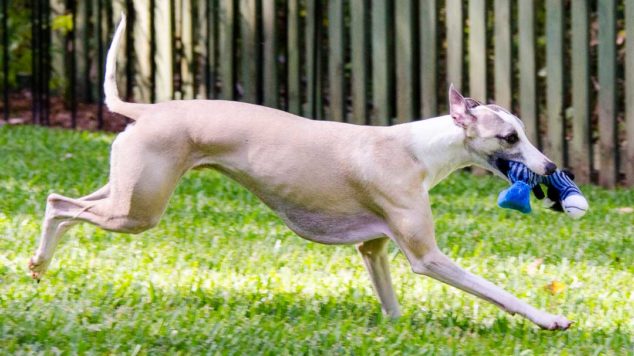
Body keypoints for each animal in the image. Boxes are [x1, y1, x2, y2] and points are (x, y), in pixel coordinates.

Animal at [28, 15, 568, 330]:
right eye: (509, 137)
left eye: (524, 130)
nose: (551, 168)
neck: (420, 149)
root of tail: (147, 110)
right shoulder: (426, 257)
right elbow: (497, 291)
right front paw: (548, 319)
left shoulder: (373, 250)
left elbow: (390, 303)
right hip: (138, 210)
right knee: (63, 206)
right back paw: (39, 261)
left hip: (128, 189)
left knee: (61, 203)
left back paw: (39, 264)